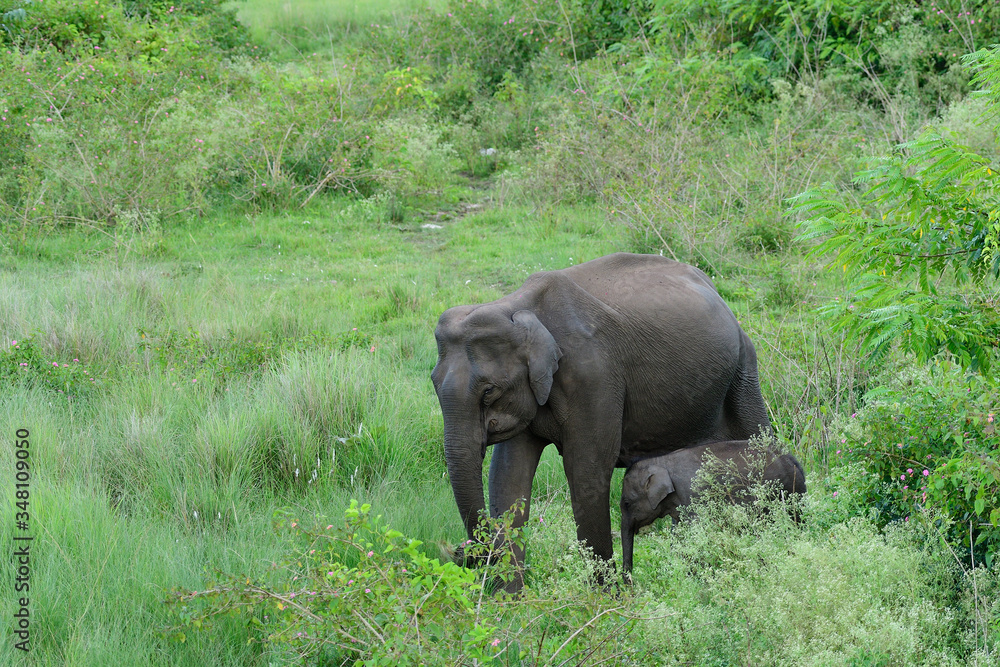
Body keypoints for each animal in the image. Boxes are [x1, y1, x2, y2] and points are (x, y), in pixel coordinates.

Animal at [430, 252, 772, 592]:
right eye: (433, 383)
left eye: (489, 391)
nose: (462, 553)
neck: (516, 306)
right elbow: (508, 478)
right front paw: (510, 599)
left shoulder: (594, 376)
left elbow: (587, 473)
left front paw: (603, 597)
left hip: (743, 366)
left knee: (757, 437)